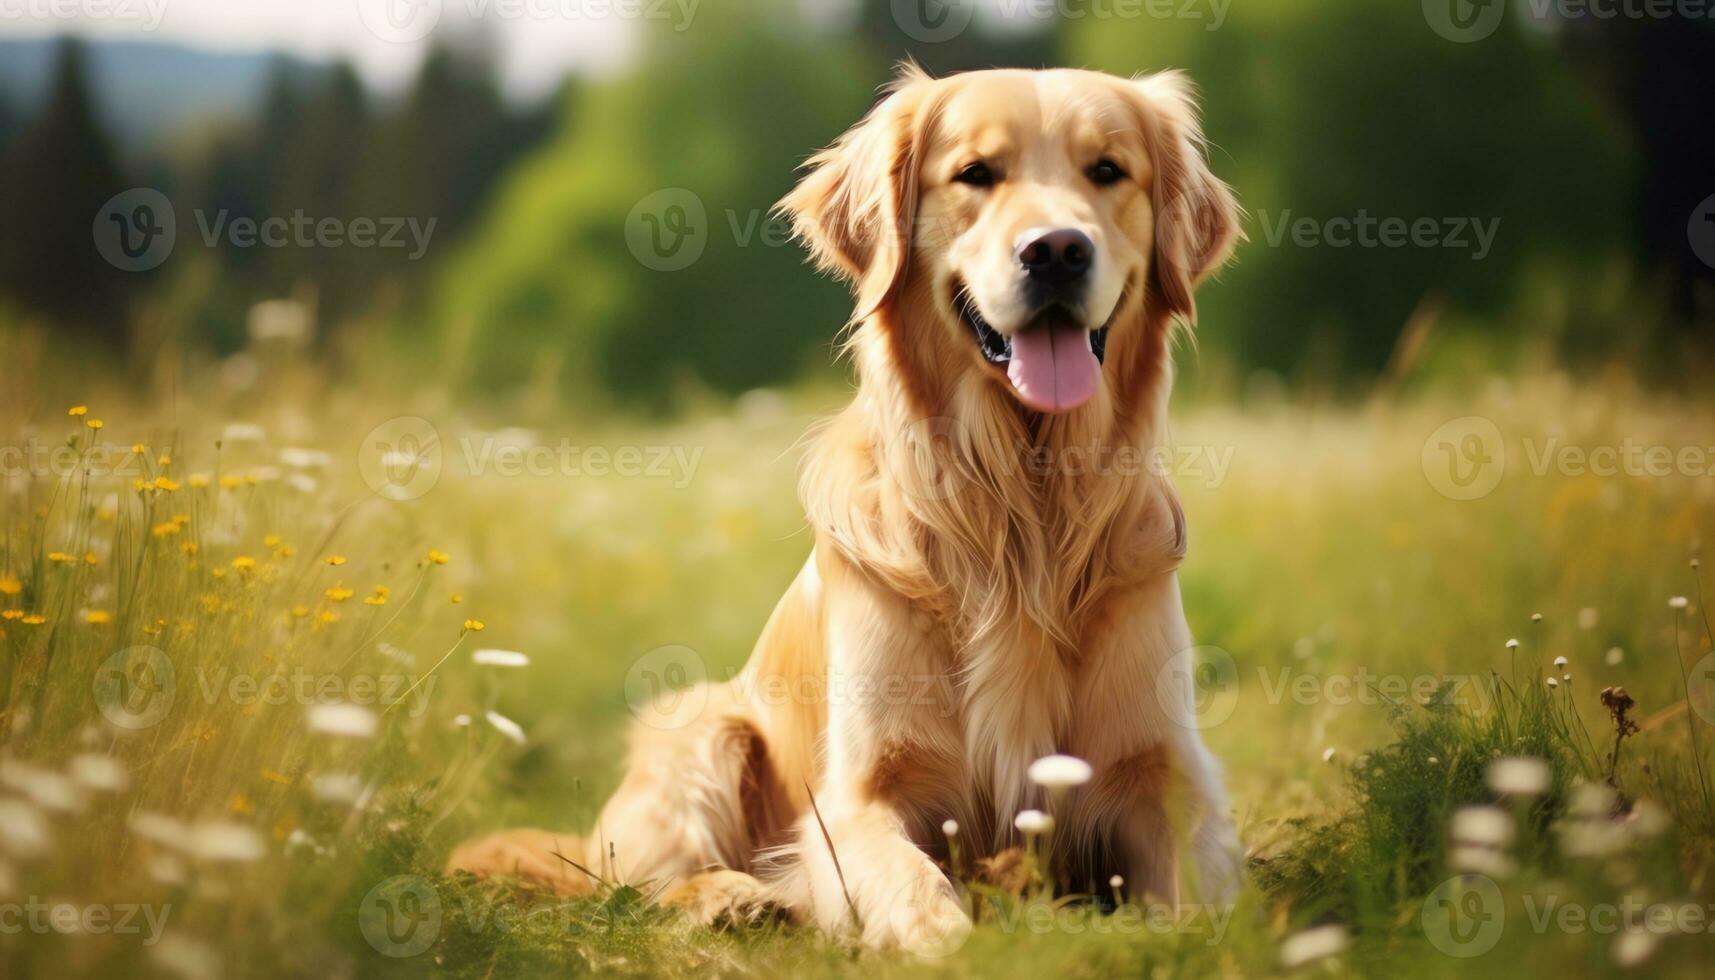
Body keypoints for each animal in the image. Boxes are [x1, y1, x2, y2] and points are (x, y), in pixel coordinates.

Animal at [449, 65, 1241, 954]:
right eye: (975, 174)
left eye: (1107, 171)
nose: (1057, 251)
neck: (1019, 506)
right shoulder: (858, 796)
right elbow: (915, 886)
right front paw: (956, 944)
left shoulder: (1164, 768)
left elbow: (1203, 897)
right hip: (700, 729)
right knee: (639, 879)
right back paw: (732, 899)